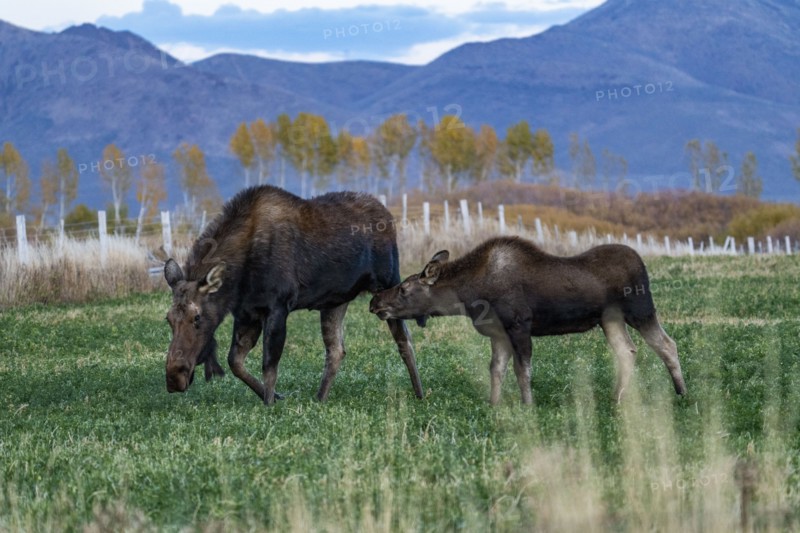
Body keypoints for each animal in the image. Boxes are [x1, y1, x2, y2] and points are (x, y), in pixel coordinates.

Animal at [163, 185, 423, 404]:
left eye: (197, 317)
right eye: (168, 319)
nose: (174, 377)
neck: (237, 281)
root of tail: (388, 215)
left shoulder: (278, 306)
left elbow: (269, 365)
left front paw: (269, 404)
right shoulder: (247, 313)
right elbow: (235, 362)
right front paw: (277, 397)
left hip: (389, 283)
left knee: (405, 340)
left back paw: (419, 393)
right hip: (335, 301)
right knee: (336, 350)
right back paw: (319, 399)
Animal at [369, 236, 686, 405]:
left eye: (404, 288)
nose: (375, 302)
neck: (469, 294)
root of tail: (641, 263)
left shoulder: (519, 326)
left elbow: (523, 370)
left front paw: (527, 404)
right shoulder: (498, 334)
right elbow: (496, 370)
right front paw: (494, 404)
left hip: (640, 310)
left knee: (667, 344)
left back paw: (681, 392)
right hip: (610, 320)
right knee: (628, 351)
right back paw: (618, 396)